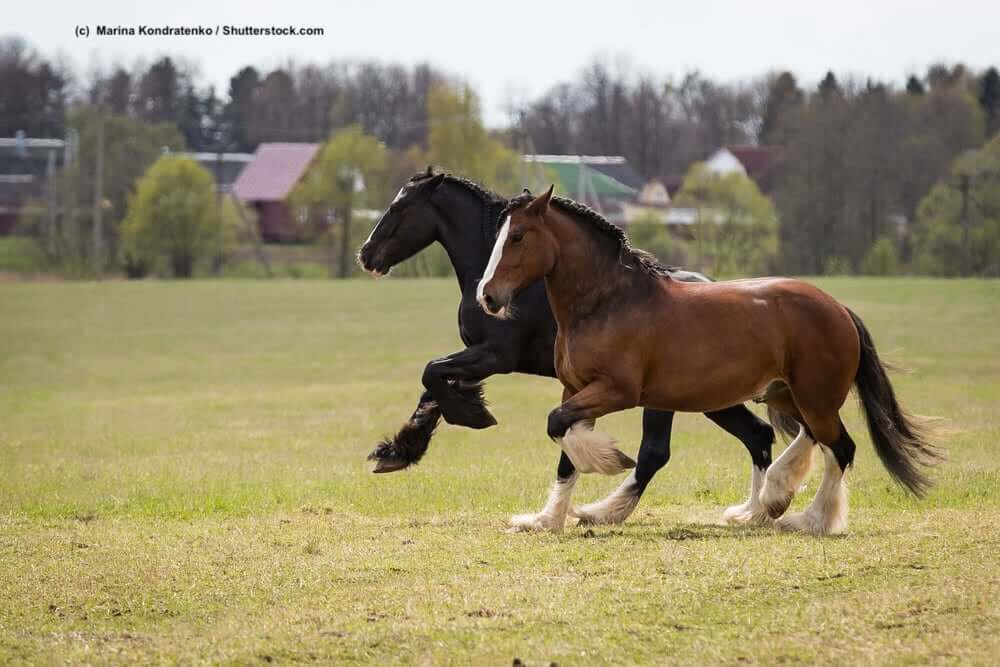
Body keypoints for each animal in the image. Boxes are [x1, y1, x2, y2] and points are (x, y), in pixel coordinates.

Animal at [357, 168, 777, 531]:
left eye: (398, 208)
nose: (366, 255)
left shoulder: (496, 355)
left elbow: (431, 372)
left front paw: (471, 415)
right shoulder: (479, 355)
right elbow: (433, 386)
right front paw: (398, 450)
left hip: (668, 397)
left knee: (656, 451)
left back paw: (603, 510)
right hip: (710, 395)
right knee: (757, 435)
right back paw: (751, 511)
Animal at [478, 186, 940, 535]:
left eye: (518, 236)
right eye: (499, 235)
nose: (488, 296)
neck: (607, 302)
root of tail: (838, 308)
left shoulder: (616, 391)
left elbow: (558, 425)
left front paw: (608, 462)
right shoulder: (574, 388)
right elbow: (564, 447)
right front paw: (545, 519)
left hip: (815, 397)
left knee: (840, 448)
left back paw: (808, 519)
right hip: (786, 394)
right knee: (803, 438)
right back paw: (765, 503)